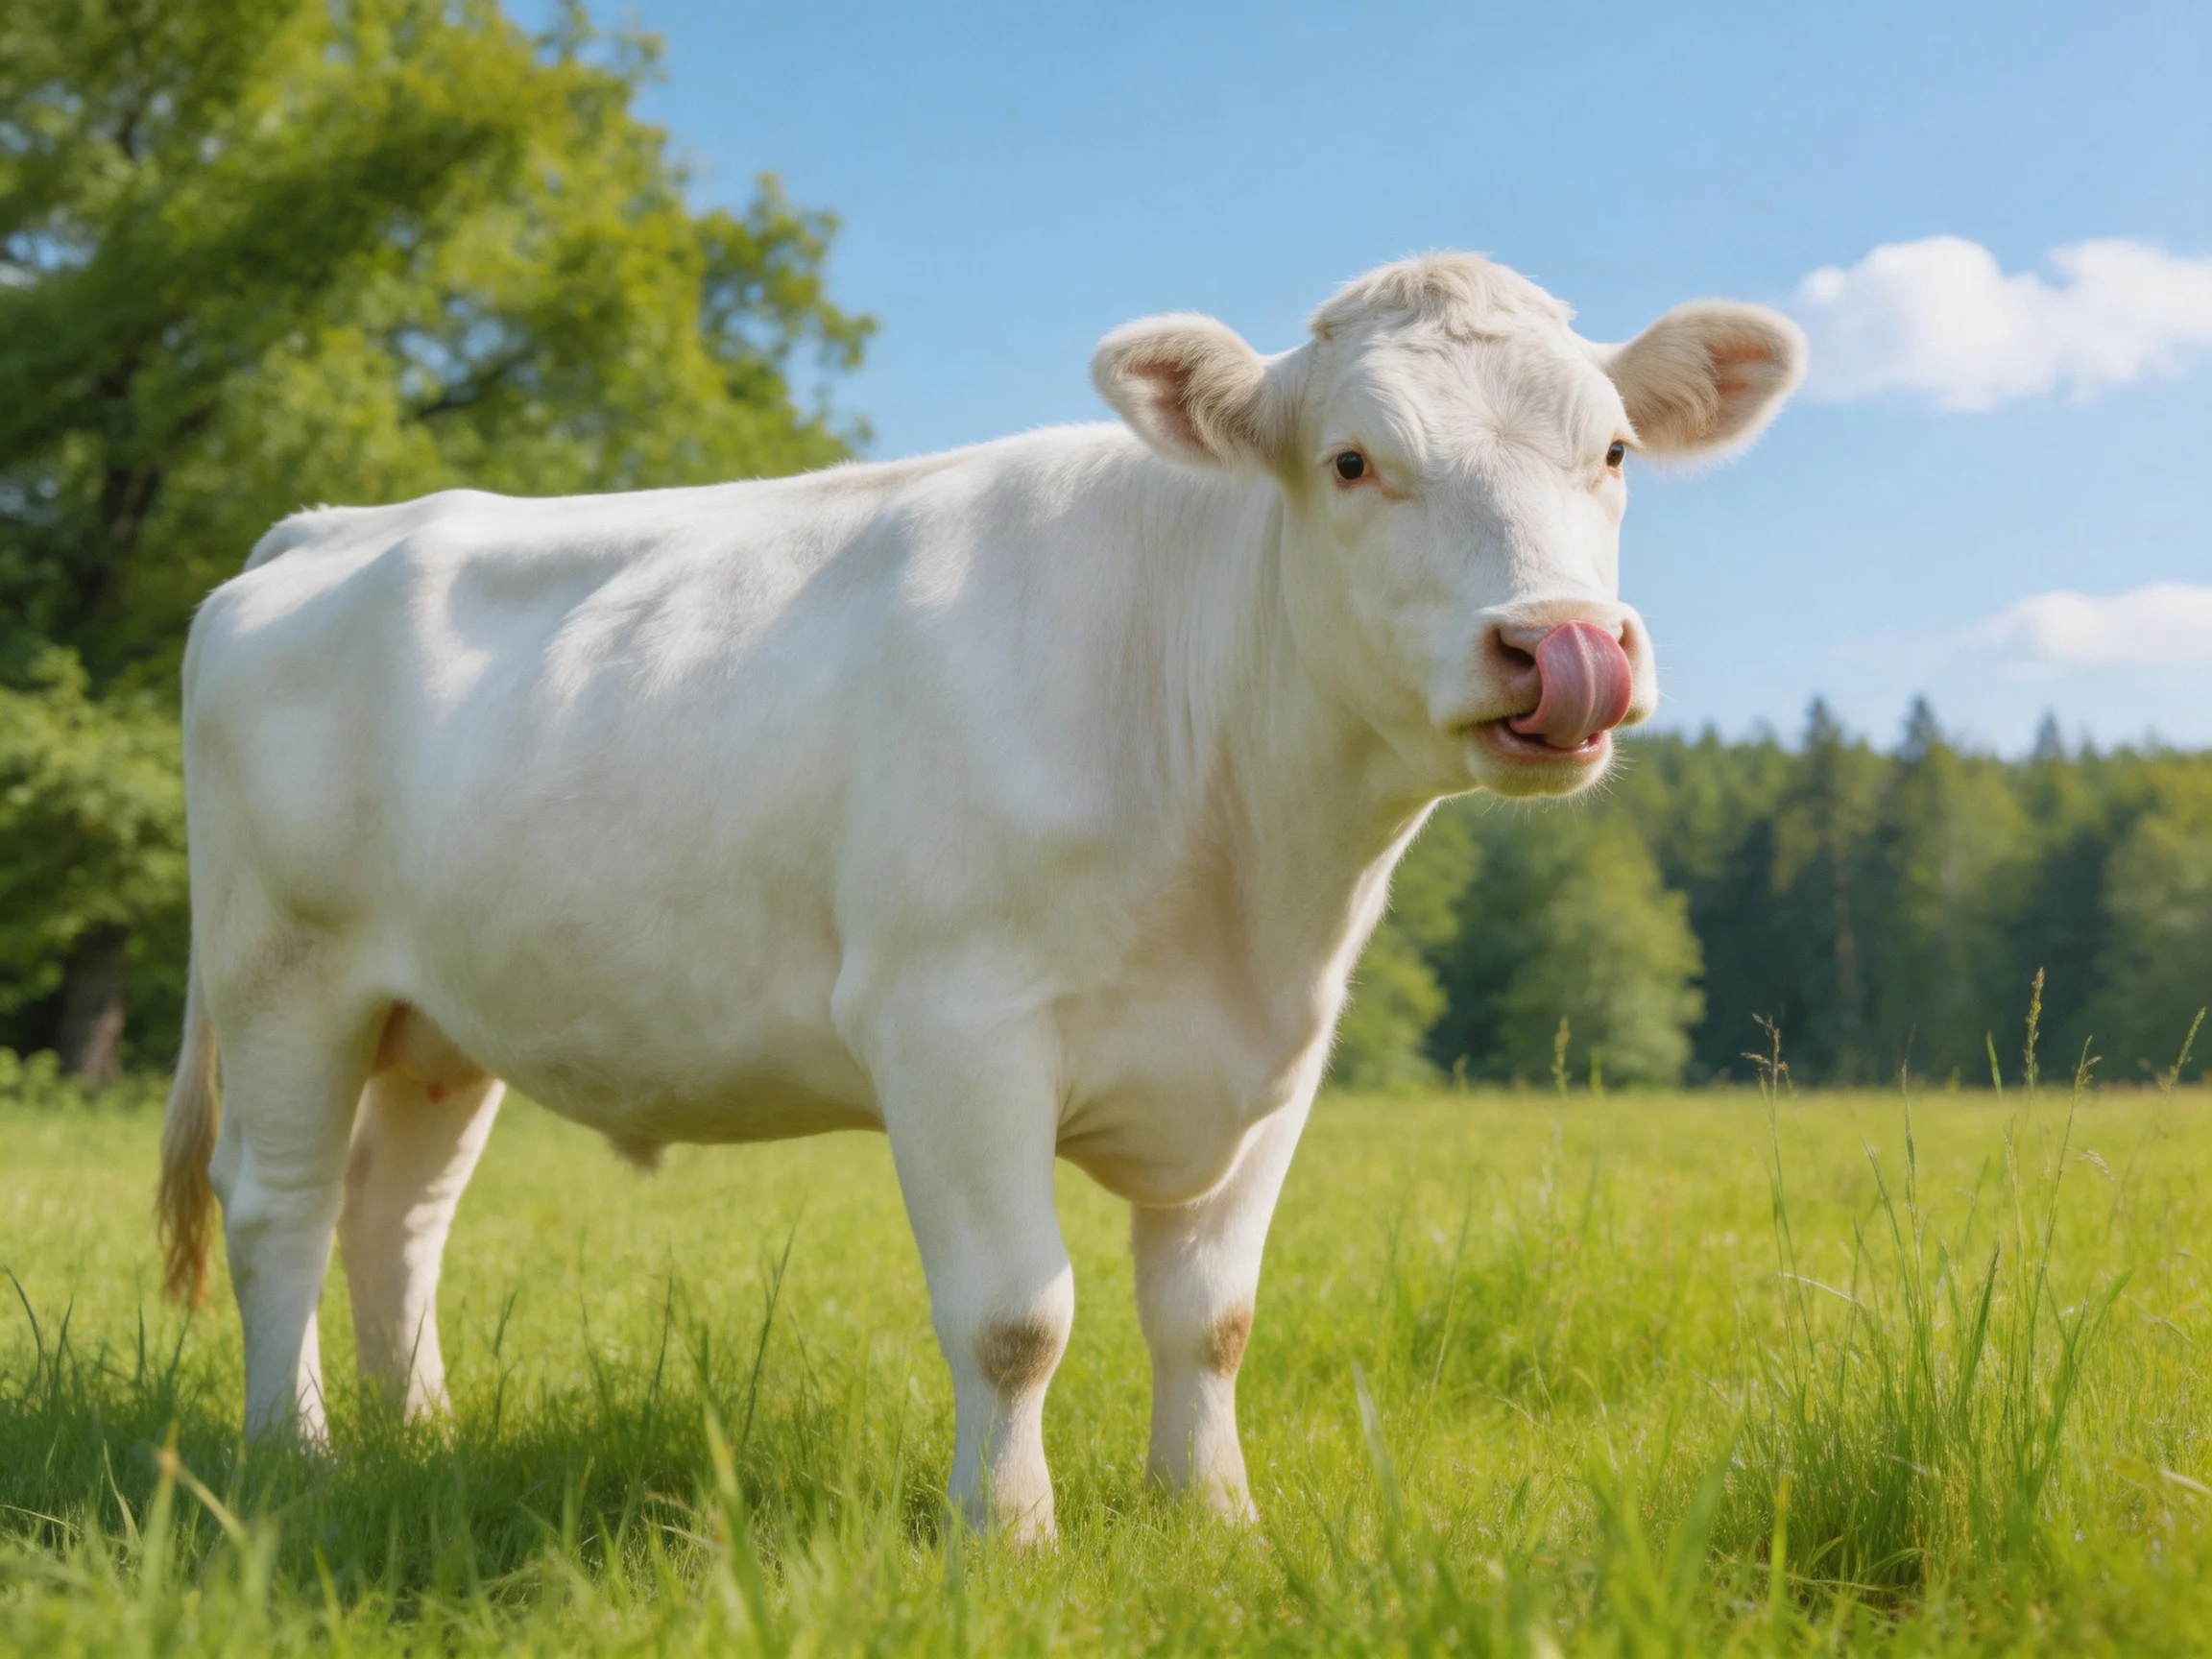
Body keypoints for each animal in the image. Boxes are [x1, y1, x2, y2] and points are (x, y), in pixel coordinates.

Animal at [157, 253, 1802, 1541]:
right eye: (1351, 461)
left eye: (1612, 453)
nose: (1563, 643)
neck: (1252, 875)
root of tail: (333, 526)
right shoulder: (950, 1023)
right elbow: (1018, 1316)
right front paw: (1008, 1534)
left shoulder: (1278, 1059)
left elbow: (1212, 1315)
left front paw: (1214, 1515)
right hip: (285, 970)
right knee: (282, 1206)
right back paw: (293, 1454)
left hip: (437, 1016)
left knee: (398, 1215)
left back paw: (418, 1437)